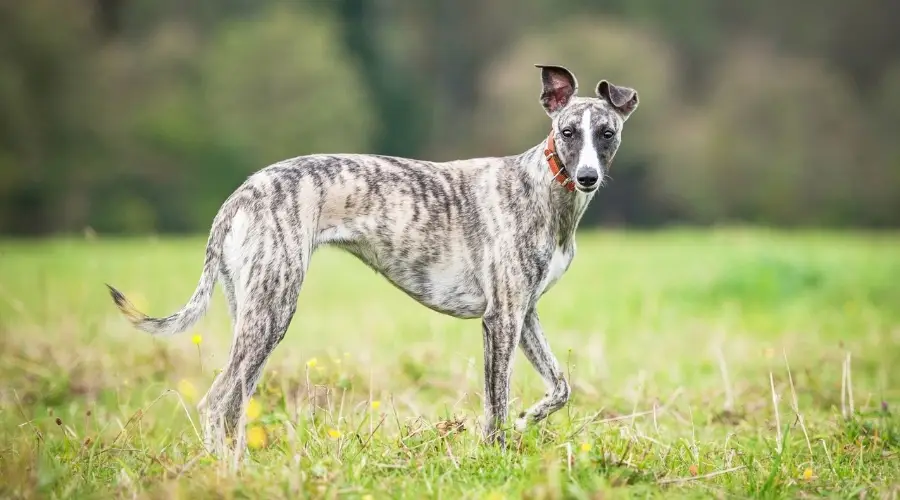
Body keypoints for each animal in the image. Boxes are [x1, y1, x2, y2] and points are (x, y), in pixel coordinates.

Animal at [107, 64, 640, 452]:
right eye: (567, 132)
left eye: (606, 133)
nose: (588, 177)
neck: (543, 188)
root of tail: (239, 196)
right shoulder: (501, 318)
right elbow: (496, 405)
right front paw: (497, 456)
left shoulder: (524, 313)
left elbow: (561, 386)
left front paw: (531, 419)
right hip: (273, 310)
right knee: (218, 402)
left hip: (252, 312)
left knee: (235, 402)